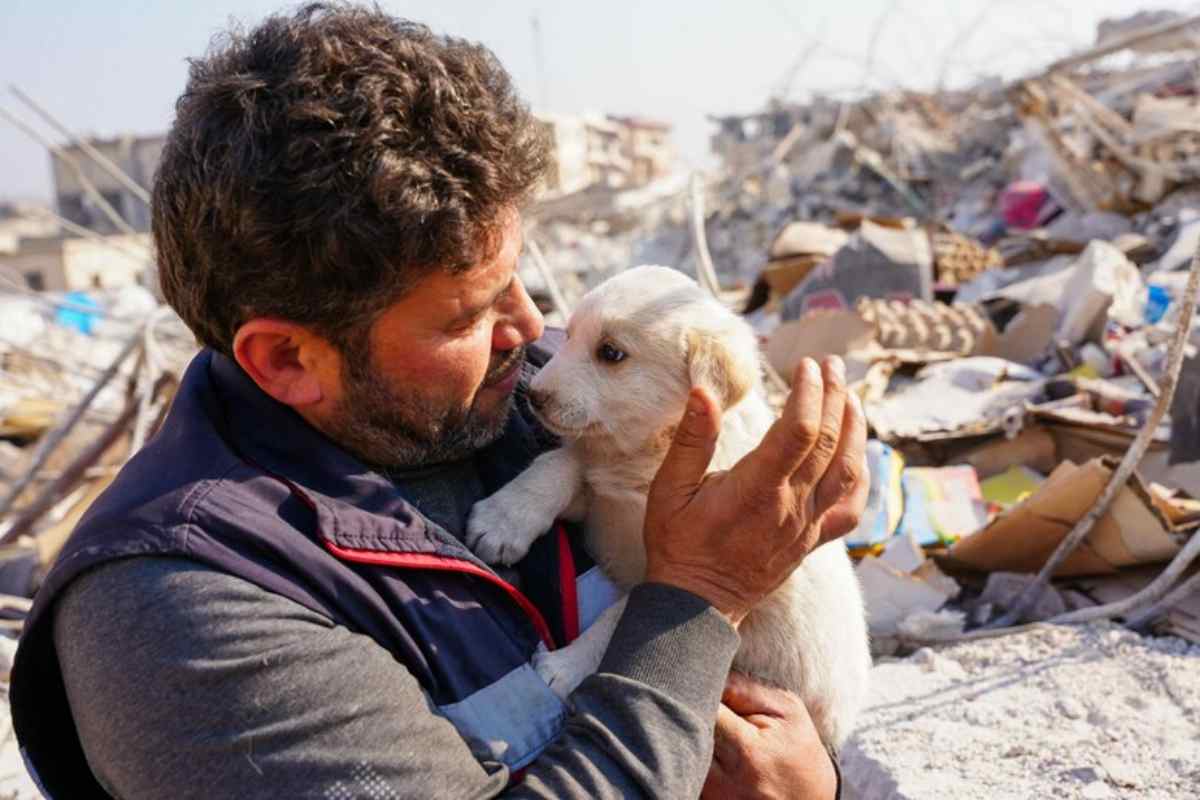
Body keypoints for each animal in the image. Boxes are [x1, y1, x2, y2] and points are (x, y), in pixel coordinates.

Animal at [468, 267, 873, 753]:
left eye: (611, 353)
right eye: (568, 335)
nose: (535, 396)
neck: (654, 450)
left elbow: (619, 616)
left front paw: (562, 667)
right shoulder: (604, 503)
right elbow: (562, 463)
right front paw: (503, 518)